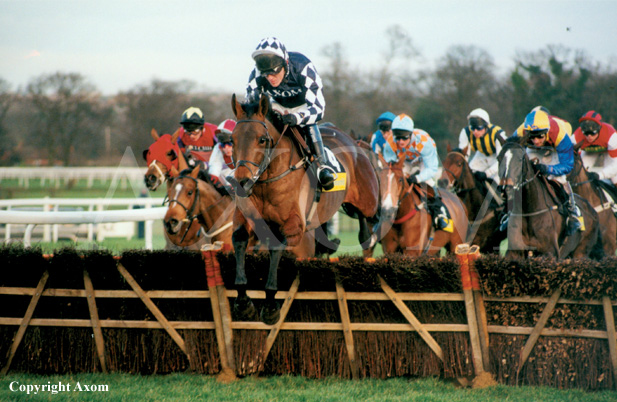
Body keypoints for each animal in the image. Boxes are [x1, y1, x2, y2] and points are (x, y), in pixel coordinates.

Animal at [229, 94, 378, 324]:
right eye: (232, 140)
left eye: (262, 139)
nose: (242, 182)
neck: (267, 181)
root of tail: (352, 141)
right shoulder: (246, 220)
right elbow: (239, 240)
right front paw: (243, 302)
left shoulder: (293, 226)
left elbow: (275, 248)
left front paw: (270, 305)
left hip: (367, 202)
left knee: (369, 227)